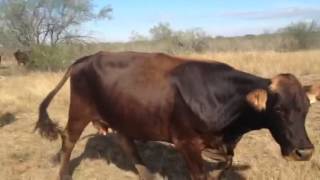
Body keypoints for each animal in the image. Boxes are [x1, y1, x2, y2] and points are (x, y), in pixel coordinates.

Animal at [35, 51, 318, 180]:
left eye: (306, 108)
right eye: (278, 109)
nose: (304, 152)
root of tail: (85, 58)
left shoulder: (219, 144)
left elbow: (223, 165)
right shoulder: (186, 143)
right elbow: (200, 175)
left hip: (122, 115)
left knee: (127, 144)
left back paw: (147, 175)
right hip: (79, 111)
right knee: (68, 141)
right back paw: (63, 175)